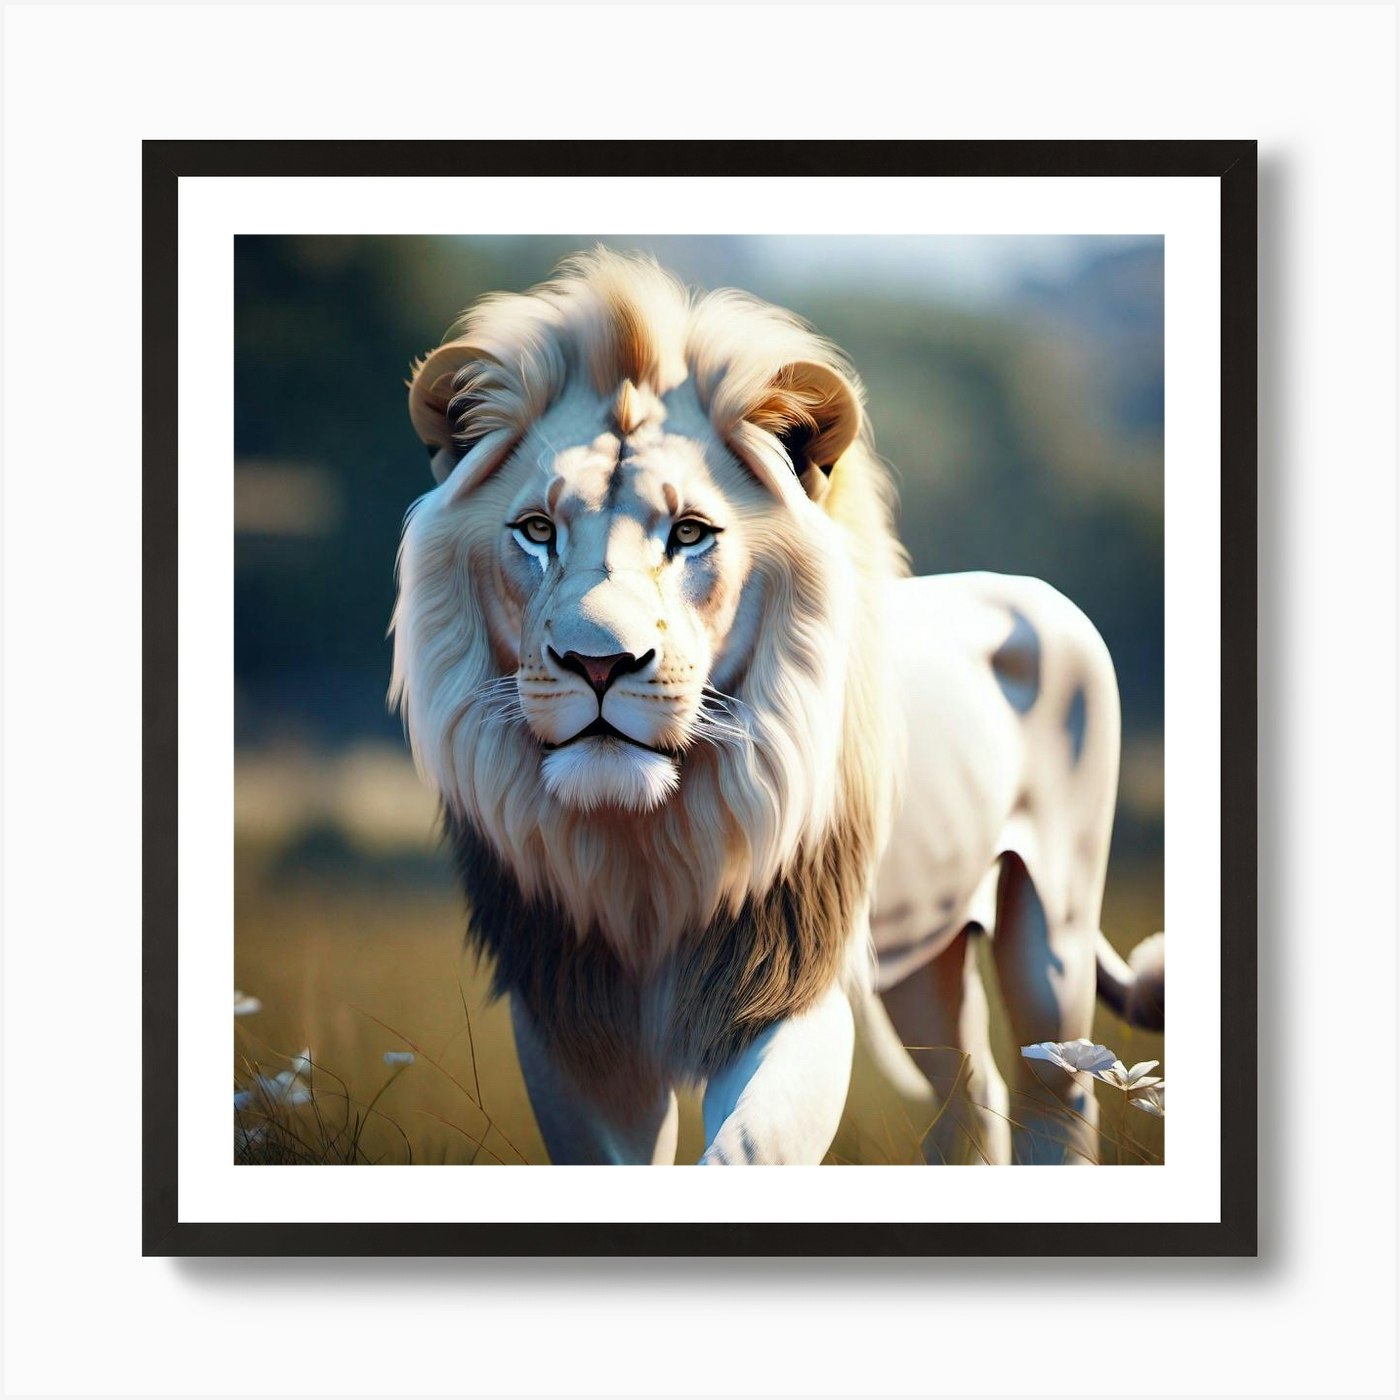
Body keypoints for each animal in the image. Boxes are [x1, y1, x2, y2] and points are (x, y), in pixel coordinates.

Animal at [391, 249, 1164, 1165]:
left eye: (690, 532)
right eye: (538, 530)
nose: (598, 662)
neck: (641, 855)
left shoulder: (787, 979)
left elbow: (748, 1147)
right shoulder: (569, 1015)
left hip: (1055, 931)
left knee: (1057, 1092)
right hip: (924, 961)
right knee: (971, 1097)